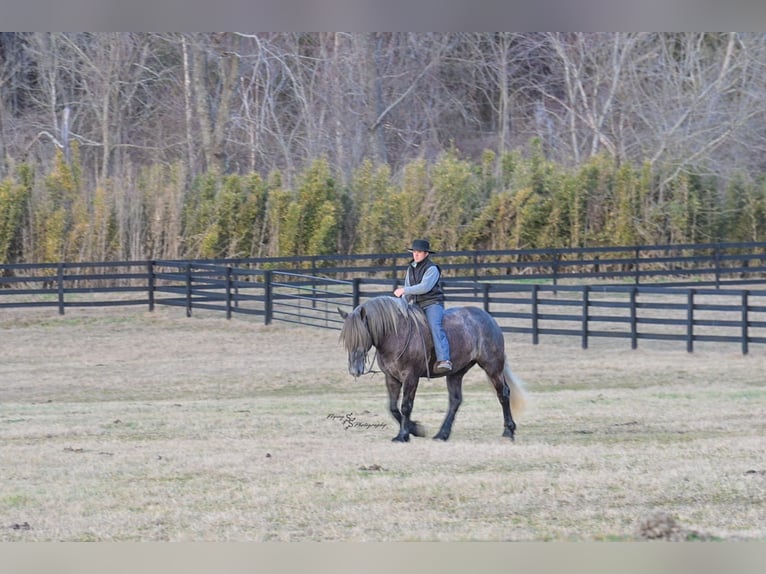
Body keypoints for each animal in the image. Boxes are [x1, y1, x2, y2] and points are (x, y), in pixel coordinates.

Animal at [338, 296, 526, 442]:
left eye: (362, 336)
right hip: (456, 373)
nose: (354, 369)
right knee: (455, 401)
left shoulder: (410, 377)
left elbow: (406, 406)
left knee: (503, 394)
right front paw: (415, 429)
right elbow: (393, 408)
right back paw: (442, 434)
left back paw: (508, 431)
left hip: (492, 367)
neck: (396, 334)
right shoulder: (391, 378)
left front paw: (404, 435)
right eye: (347, 339)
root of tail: (489, 319)